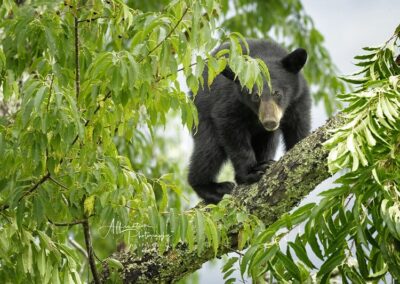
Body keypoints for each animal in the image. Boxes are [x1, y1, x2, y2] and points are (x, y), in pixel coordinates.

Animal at [189, 40, 310, 204]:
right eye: (255, 96)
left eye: (277, 93)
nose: (270, 122)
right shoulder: (230, 100)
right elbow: (231, 129)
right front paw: (251, 172)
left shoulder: (298, 100)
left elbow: (298, 128)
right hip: (200, 113)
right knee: (209, 149)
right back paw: (212, 187)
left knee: (267, 142)